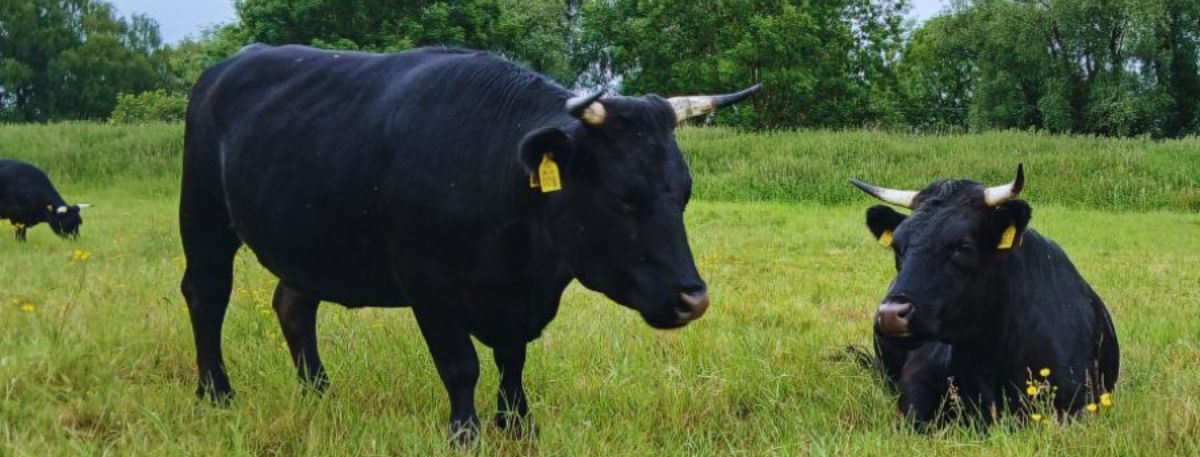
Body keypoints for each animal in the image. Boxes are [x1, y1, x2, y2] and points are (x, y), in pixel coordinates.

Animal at [180, 44, 758, 445]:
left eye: (683, 192)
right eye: (624, 197)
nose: (692, 299)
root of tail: (227, 66)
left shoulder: (523, 293)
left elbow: (512, 358)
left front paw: (519, 425)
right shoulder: (428, 283)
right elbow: (462, 364)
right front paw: (467, 433)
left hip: (311, 243)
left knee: (294, 305)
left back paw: (322, 394)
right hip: (203, 217)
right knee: (206, 296)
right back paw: (216, 393)